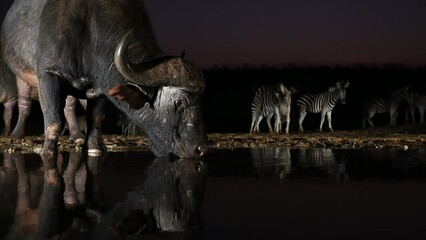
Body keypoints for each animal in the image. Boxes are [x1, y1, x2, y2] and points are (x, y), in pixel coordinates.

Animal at [0, 0, 206, 158]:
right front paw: (48, 150)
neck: (88, 29)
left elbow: (95, 117)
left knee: (69, 107)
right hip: (21, 78)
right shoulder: (49, 74)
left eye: (200, 101)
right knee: (25, 104)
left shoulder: (100, 86)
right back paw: (17, 134)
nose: (199, 149)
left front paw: (93, 147)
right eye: (178, 102)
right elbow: (54, 118)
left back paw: (76, 135)